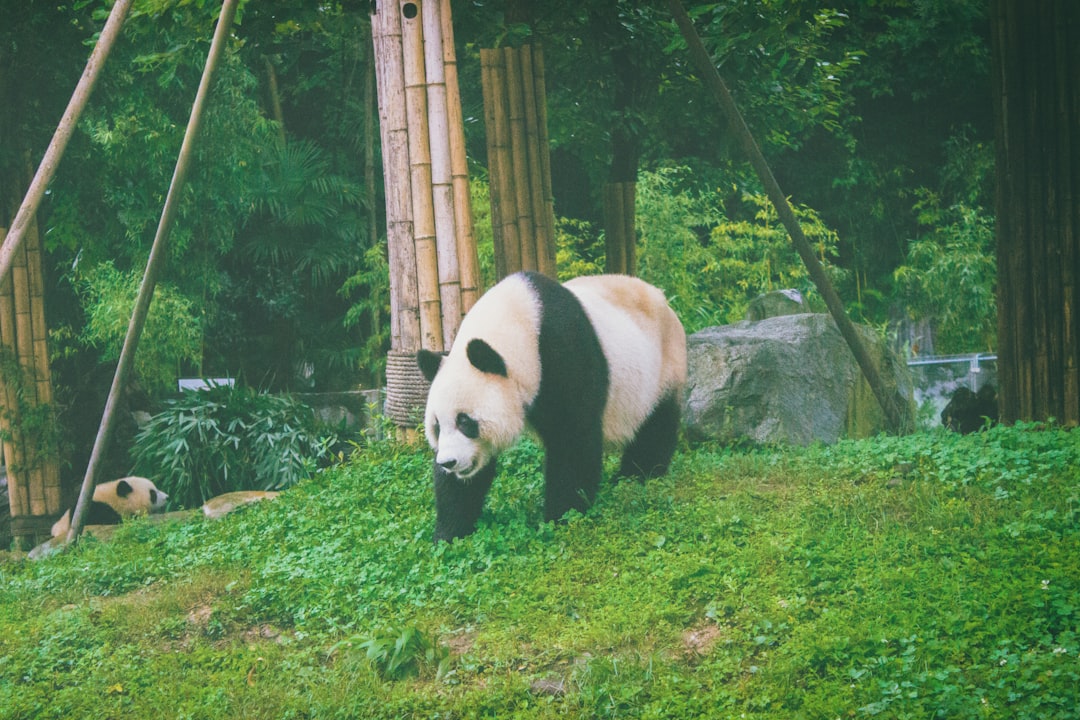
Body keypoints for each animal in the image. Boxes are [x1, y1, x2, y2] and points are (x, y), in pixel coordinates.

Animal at [417, 271, 687, 542]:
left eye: (464, 421)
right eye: (437, 426)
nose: (449, 463)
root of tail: (663, 298)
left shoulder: (563, 351)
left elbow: (573, 438)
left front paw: (562, 516)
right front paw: (450, 533)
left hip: (663, 366)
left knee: (655, 427)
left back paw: (637, 475)